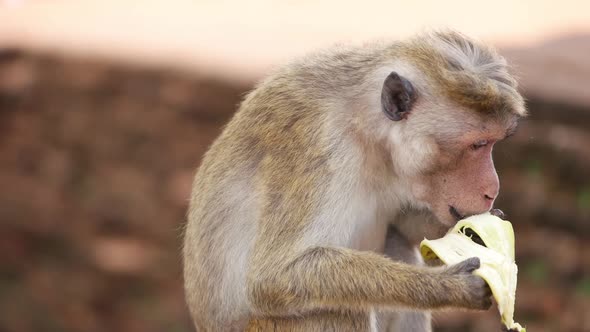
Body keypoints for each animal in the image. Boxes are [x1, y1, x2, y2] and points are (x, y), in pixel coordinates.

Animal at [184, 29, 528, 330]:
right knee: (341, 307)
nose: (492, 190)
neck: (366, 130)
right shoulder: (319, 149)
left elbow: (402, 223)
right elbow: (273, 277)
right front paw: (447, 285)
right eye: (478, 144)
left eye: (493, 143)